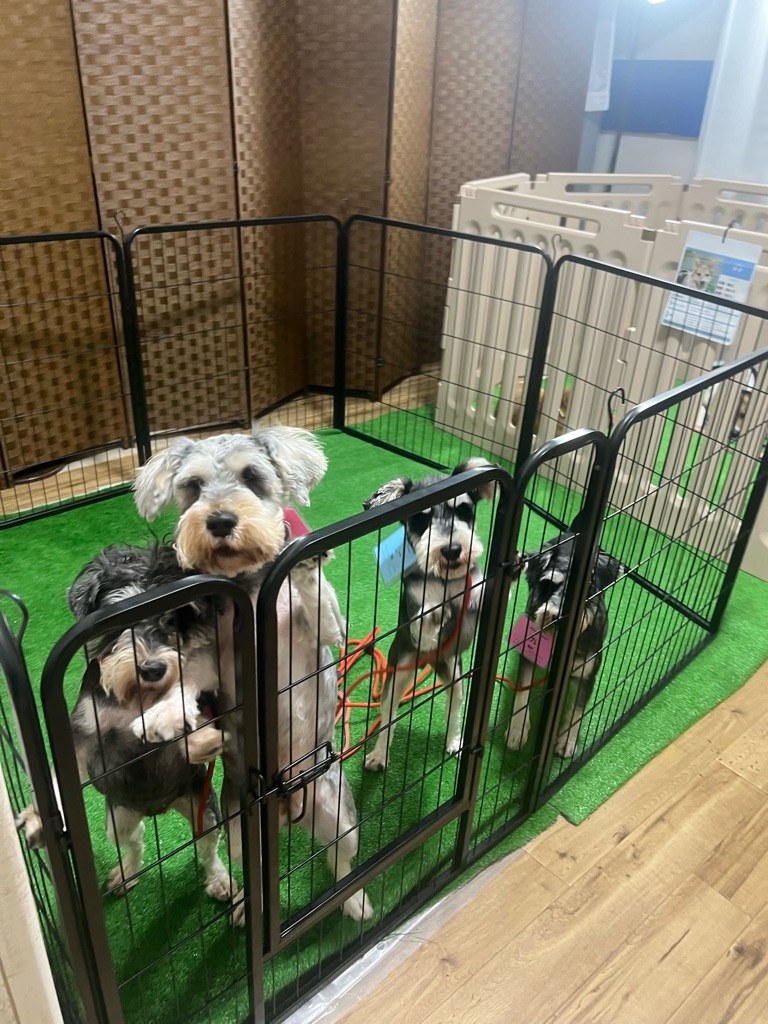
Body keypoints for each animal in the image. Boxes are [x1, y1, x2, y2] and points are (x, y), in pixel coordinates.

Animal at [16, 544, 232, 904]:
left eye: (173, 620)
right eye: (120, 621)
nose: (154, 669)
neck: (135, 698)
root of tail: (158, 809)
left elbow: (185, 724)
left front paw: (200, 740)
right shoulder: (82, 735)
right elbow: (61, 779)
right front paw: (36, 822)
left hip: (206, 808)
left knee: (208, 847)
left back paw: (220, 881)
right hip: (116, 820)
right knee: (134, 841)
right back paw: (126, 874)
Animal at [133, 427, 370, 923]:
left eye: (252, 476)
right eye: (193, 485)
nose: (221, 520)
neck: (254, 587)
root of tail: (284, 810)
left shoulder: (328, 631)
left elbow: (320, 602)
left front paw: (302, 553)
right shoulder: (214, 660)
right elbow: (187, 676)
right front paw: (161, 714)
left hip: (341, 817)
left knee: (340, 861)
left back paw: (356, 901)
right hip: (241, 831)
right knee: (252, 873)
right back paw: (244, 906)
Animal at [361, 458, 497, 772]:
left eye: (464, 510)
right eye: (421, 521)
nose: (452, 550)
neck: (445, 580)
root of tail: (430, 664)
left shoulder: (476, 597)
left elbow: (488, 591)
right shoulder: (417, 625)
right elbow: (426, 616)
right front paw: (438, 609)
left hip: (456, 677)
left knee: (452, 712)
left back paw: (454, 742)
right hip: (396, 677)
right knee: (388, 720)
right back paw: (378, 755)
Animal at [506, 529, 622, 758]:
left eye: (588, 590)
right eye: (547, 584)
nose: (558, 617)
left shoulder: (587, 674)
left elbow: (577, 711)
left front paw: (567, 741)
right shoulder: (528, 657)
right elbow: (522, 693)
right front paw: (517, 730)